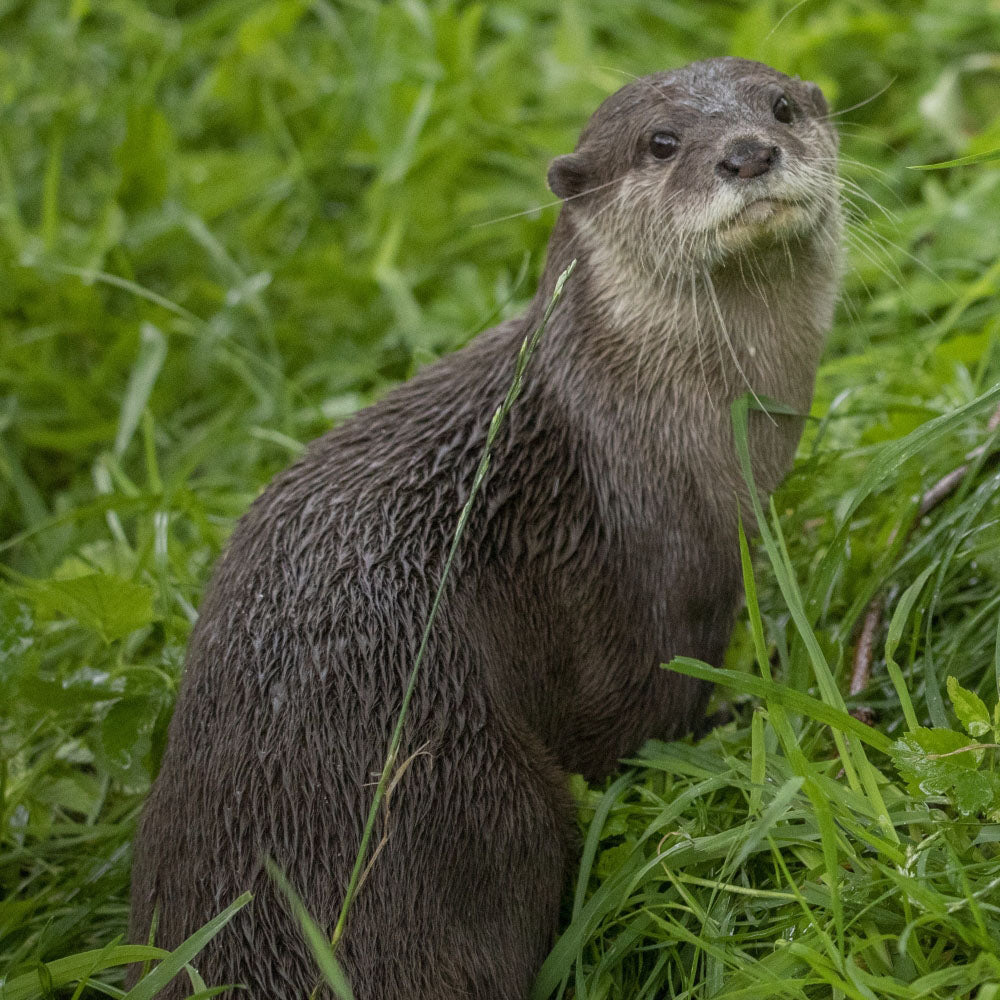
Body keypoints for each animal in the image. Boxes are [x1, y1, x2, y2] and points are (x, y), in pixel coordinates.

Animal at [130, 57, 842, 999]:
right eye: (661, 143)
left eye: (782, 106)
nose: (749, 151)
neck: (627, 432)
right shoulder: (646, 585)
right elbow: (630, 725)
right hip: (479, 798)